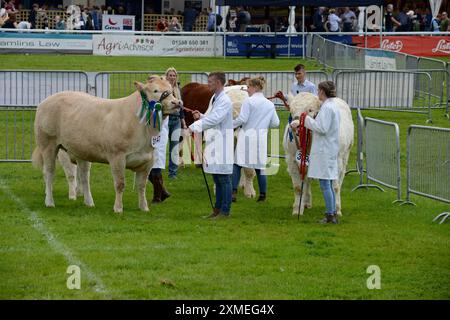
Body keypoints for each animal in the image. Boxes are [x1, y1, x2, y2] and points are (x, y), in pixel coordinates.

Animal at [32, 76, 182, 214]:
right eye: (155, 90)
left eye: (170, 90)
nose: (176, 103)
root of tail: (46, 100)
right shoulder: (117, 157)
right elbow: (120, 184)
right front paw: (118, 208)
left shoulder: (148, 159)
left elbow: (142, 186)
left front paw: (144, 207)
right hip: (48, 145)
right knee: (49, 172)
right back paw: (50, 202)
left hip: (81, 151)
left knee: (84, 176)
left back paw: (89, 202)